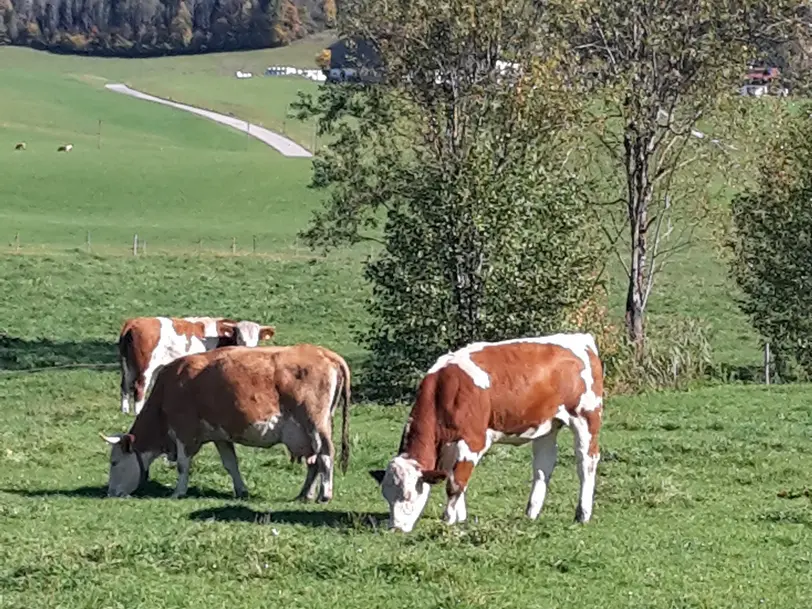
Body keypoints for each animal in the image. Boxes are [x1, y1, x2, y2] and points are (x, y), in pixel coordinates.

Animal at [102, 344, 352, 502]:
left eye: (114, 462)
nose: (111, 493)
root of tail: (324, 353)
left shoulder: (185, 431)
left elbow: (183, 465)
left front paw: (178, 492)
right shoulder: (220, 436)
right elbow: (231, 464)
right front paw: (241, 490)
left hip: (315, 423)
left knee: (326, 454)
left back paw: (324, 494)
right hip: (307, 432)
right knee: (314, 462)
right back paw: (304, 494)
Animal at [118, 318, 276, 414]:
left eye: (256, 339)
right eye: (240, 337)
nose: (249, 349)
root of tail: (134, 322)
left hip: (129, 366)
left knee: (125, 386)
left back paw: (125, 410)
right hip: (146, 367)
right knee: (139, 388)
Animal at [368, 332, 604, 532]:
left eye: (408, 496)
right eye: (386, 496)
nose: (395, 529)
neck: (443, 391)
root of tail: (580, 338)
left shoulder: (473, 441)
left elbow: (455, 483)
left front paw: (448, 520)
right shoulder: (447, 446)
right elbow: (454, 477)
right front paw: (460, 517)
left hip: (587, 417)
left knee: (586, 461)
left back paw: (582, 514)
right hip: (547, 424)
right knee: (543, 466)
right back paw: (531, 513)